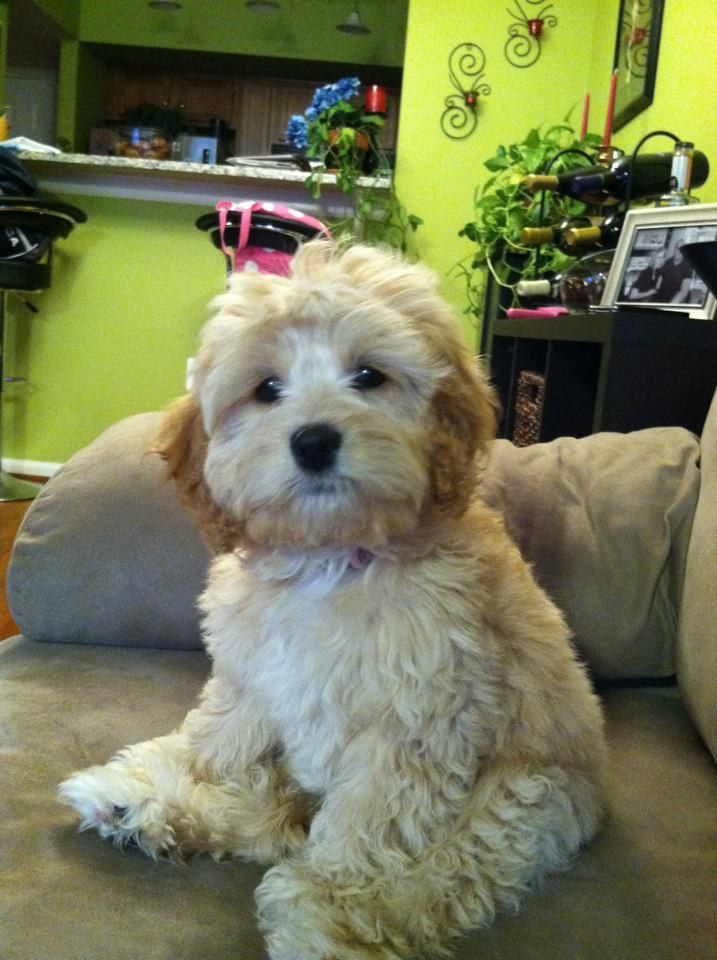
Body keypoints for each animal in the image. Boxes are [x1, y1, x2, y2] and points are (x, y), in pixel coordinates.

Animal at [61, 242, 608, 960]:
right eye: (266, 389)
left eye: (369, 376)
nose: (314, 440)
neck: (329, 558)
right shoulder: (253, 682)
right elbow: (214, 741)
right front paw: (153, 778)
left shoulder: (416, 724)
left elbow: (372, 824)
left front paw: (332, 896)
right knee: (268, 811)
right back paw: (141, 807)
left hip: (523, 795)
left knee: (444, 873)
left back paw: (328, 924)